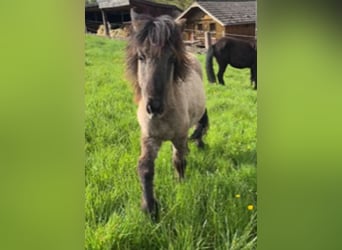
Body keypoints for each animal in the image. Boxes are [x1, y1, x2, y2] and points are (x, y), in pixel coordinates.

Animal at [125, 8, 208, 219]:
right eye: (141, 57)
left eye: (171, 59)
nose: (154, 107)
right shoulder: (149, 137)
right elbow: (145, 168)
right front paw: (150, 209)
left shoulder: (179, 136)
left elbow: (179, 161)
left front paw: (180, 183)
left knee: (201, 124)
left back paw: (200, 143)